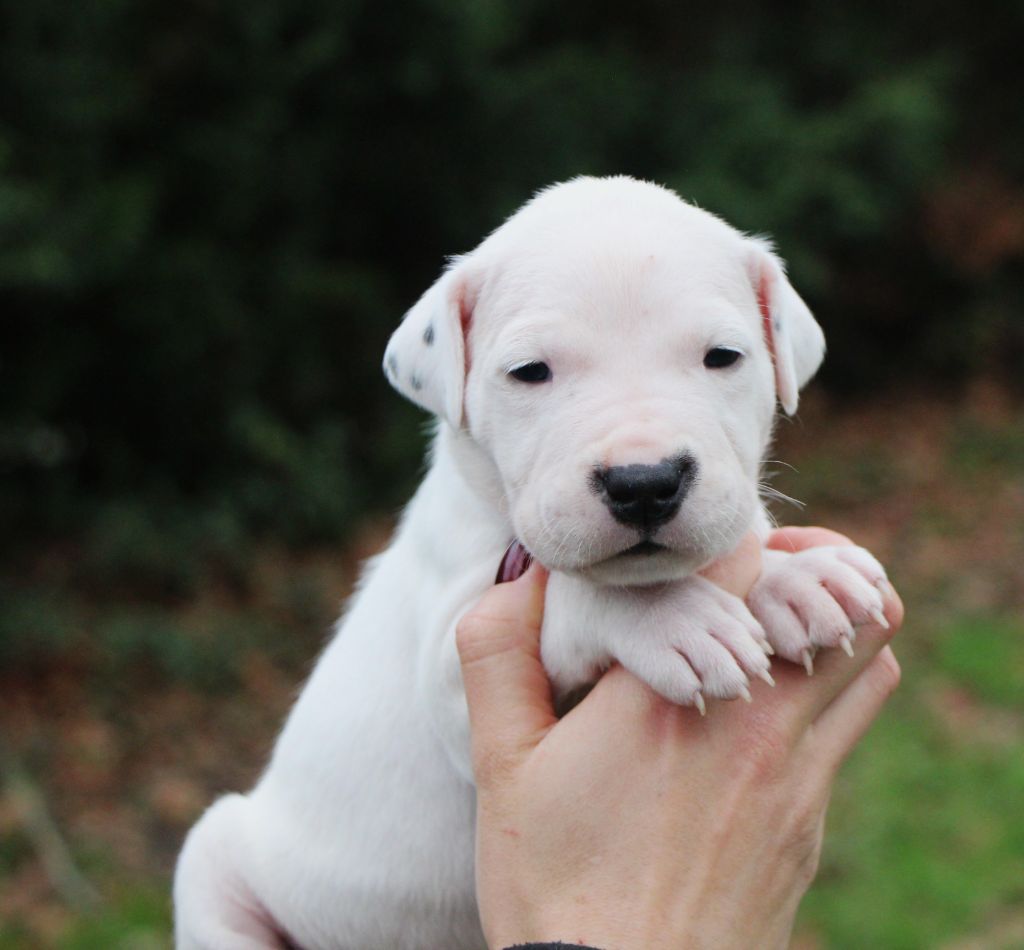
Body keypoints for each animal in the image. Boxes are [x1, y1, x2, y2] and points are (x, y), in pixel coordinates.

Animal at [174, 178, 888, 950]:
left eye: (723, 357)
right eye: (530, 372)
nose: (645, 483)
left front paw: (799, 582)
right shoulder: (451, 670)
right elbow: (576, 599)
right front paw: (675, 619)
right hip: (214, 864)